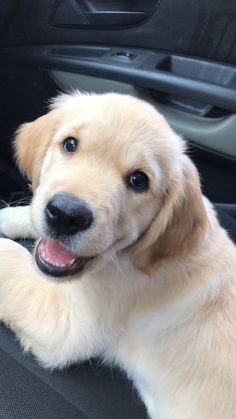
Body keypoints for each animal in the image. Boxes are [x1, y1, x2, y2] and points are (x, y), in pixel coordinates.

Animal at [0, 92, 236, 419]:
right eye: (70, 144)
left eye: (139, 180)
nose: (66, 215)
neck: (132, 256)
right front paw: (9, 216)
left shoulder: (67, 326)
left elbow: (10, 260)